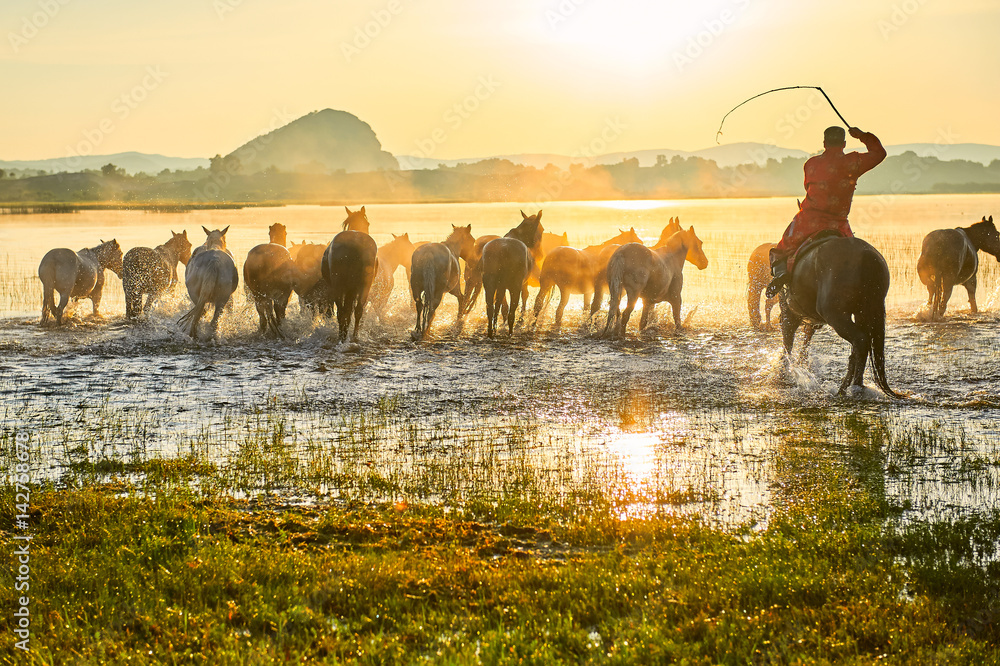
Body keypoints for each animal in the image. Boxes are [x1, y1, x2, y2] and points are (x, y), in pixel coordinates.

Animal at [780, 236, 900, 396]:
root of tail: (866, 255)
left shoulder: (789, 312)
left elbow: (788, 340)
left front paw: (784, 371)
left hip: (837, 316)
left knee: (860, 341)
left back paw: (849, 387)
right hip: (865, 311)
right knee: (860, 345)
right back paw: (854, 386)